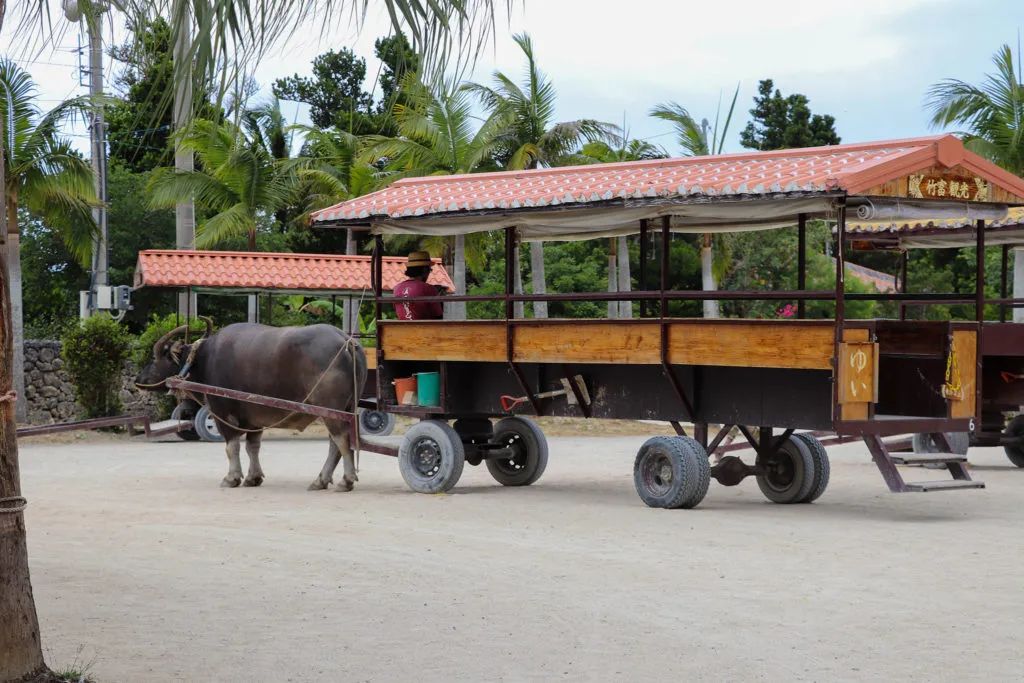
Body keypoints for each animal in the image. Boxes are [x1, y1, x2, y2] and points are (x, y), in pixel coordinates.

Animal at [136, 321, 366, 491]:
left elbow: (232, 446)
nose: (139, 379)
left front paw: (232, 478)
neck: (204, 358)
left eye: (155, 358)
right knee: (336, 443)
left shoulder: (222, 413)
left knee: (341, 441)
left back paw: (345, 480)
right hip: (345, 409)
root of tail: (346, 341)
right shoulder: (255, 418)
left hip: (331, 411)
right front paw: (253, 477)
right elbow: (252, 447)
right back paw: (321, 480)